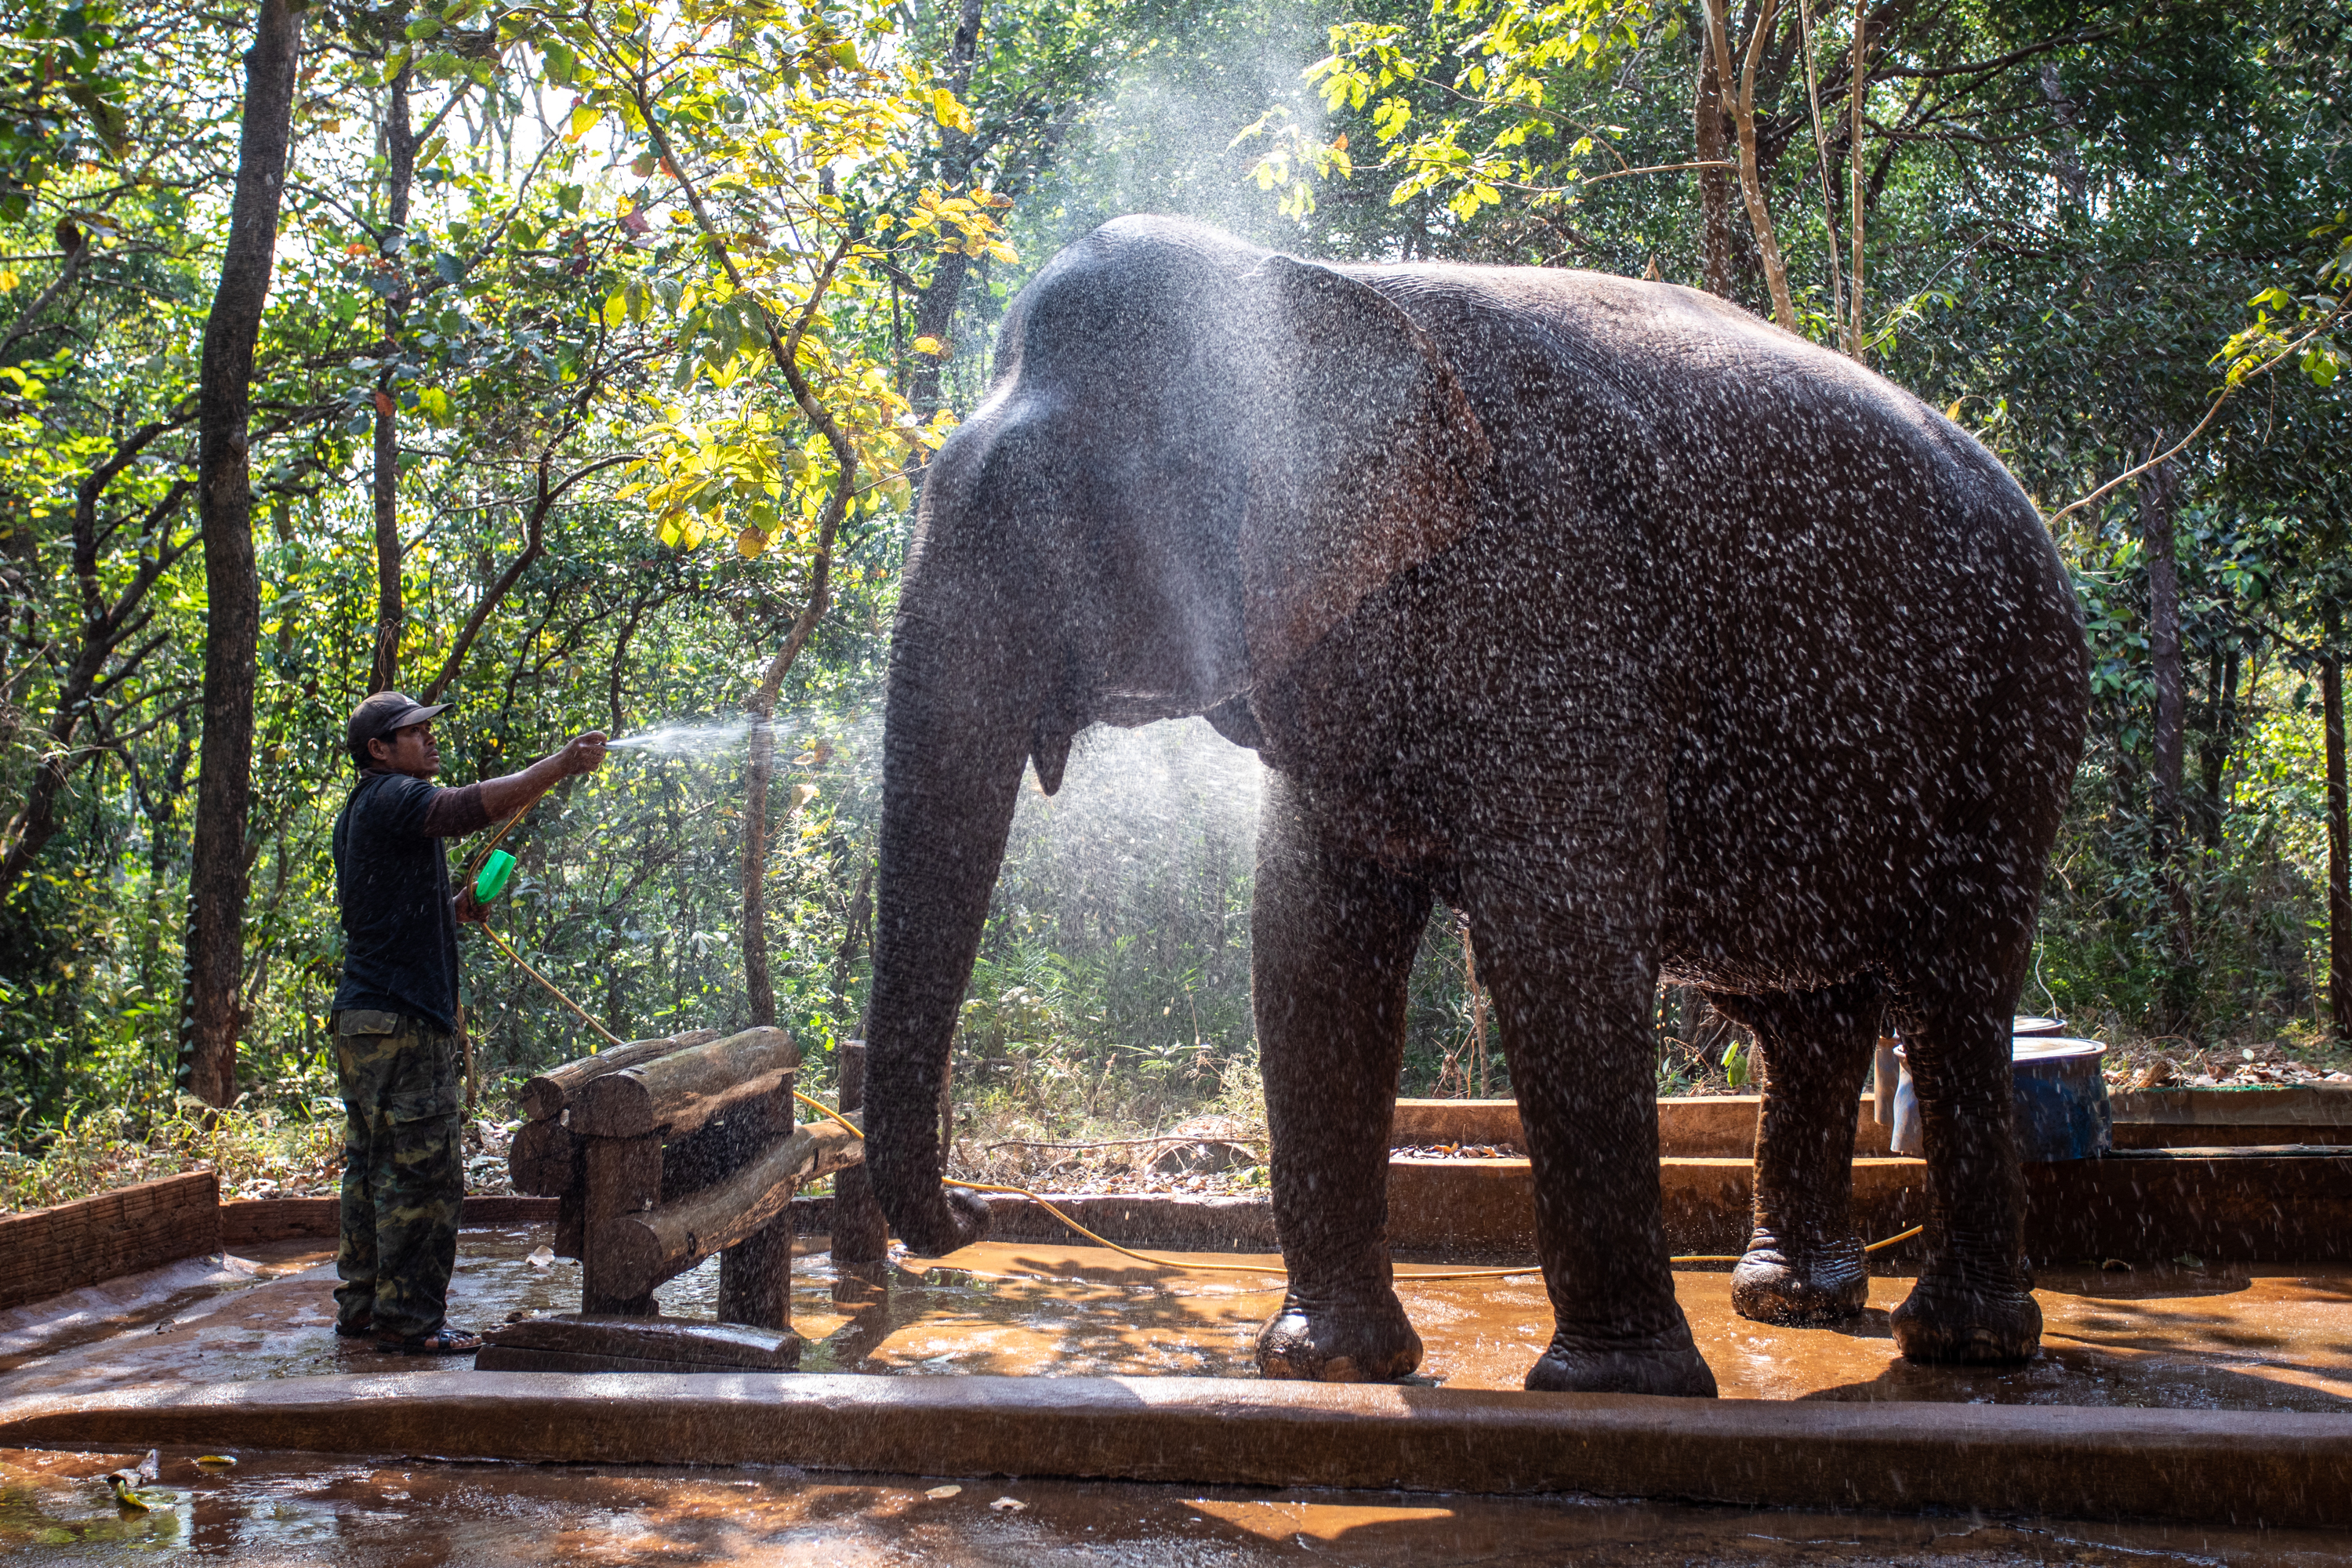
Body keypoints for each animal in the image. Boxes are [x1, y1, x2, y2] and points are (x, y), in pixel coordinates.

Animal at [859, 214, 2088, 1398]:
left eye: (1053, 516)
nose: (972, 1215)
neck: (1309, 285)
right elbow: (1310, 949)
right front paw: (1330, 1365)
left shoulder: (1552, 595)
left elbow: (1559, 942)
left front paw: (1611, 1388)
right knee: (1803, 1011)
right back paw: (1792, 1305)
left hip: (2014, 721)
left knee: (1953, 989)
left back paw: (1960, 1344)